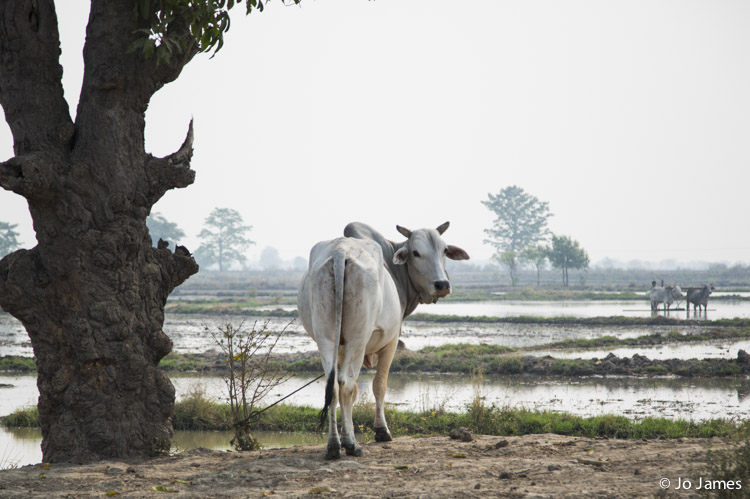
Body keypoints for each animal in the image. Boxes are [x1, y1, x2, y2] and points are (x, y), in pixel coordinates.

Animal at [297, 222, 469, 459]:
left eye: (444, 250)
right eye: (416, 252)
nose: (442, 284)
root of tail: (340, 252)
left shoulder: (340, 348)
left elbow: (351, 392)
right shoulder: (391, 341)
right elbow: (379, 386)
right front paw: (381, 430)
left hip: (325, 339)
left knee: (333, 389)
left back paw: (333, 446)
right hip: (358, 339)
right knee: (346, 384)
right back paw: (351, 445)